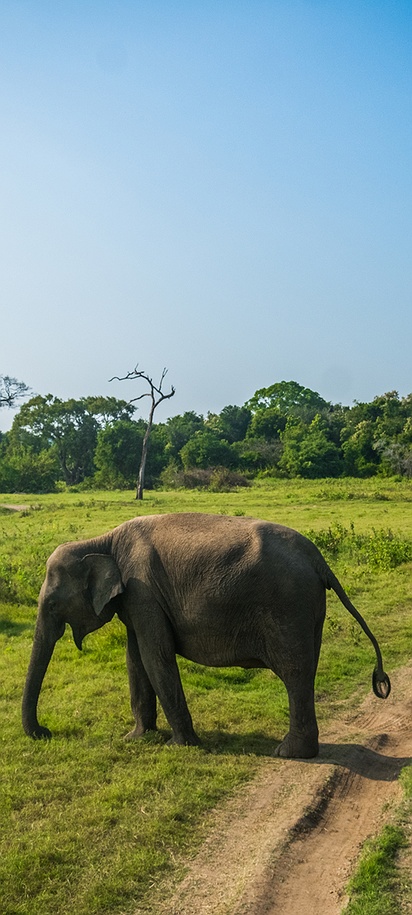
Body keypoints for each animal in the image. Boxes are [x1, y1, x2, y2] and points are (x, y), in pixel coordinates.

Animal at [22, 512, 391, 758]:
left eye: (52, 604)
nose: (46, 732)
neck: (102, 540)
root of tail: (319, 560)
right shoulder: (136, 599)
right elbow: (136, 659)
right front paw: (137, 739)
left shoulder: (143, 592)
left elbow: (156, 656)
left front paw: (180, 745)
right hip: (308, 610)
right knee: (306, 671)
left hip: (290, 606)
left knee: (294, 673)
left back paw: (288, 753)